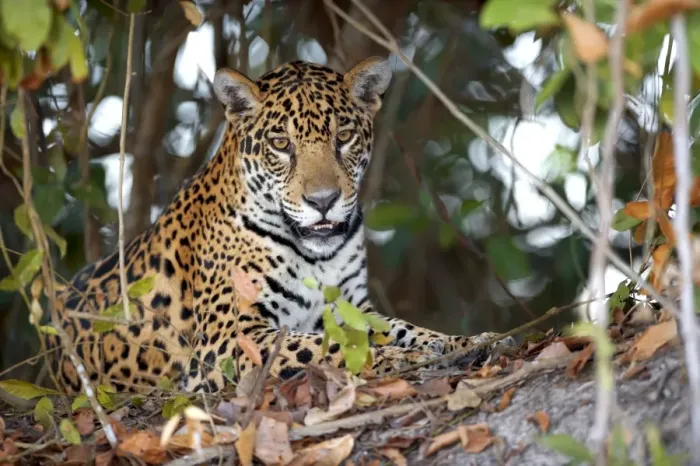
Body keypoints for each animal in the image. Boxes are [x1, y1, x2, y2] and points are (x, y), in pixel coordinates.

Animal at [45, 57, 509, 394]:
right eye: (282, 144)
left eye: (343, 138)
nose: (323, 201)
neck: (315, 258)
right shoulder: (229, 338)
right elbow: (320, 347)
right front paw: (399, 359)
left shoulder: (351, 305)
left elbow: (404, 328)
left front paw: (469, 341)